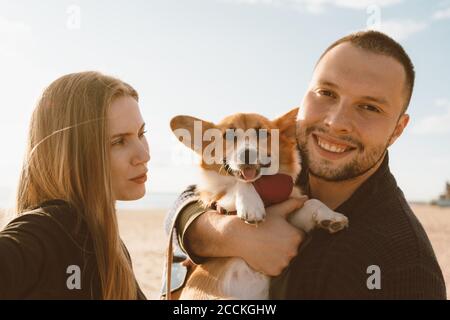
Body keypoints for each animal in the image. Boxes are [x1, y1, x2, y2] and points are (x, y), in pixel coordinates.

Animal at [169, 108, 348, 300]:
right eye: (229, 135)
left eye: (262, 133)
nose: (247, 154)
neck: (265, 188)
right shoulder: (221, 202)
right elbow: (240, 184)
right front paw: (251, 205)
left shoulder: (290, 216)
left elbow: (312, 203)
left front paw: (331, 216)